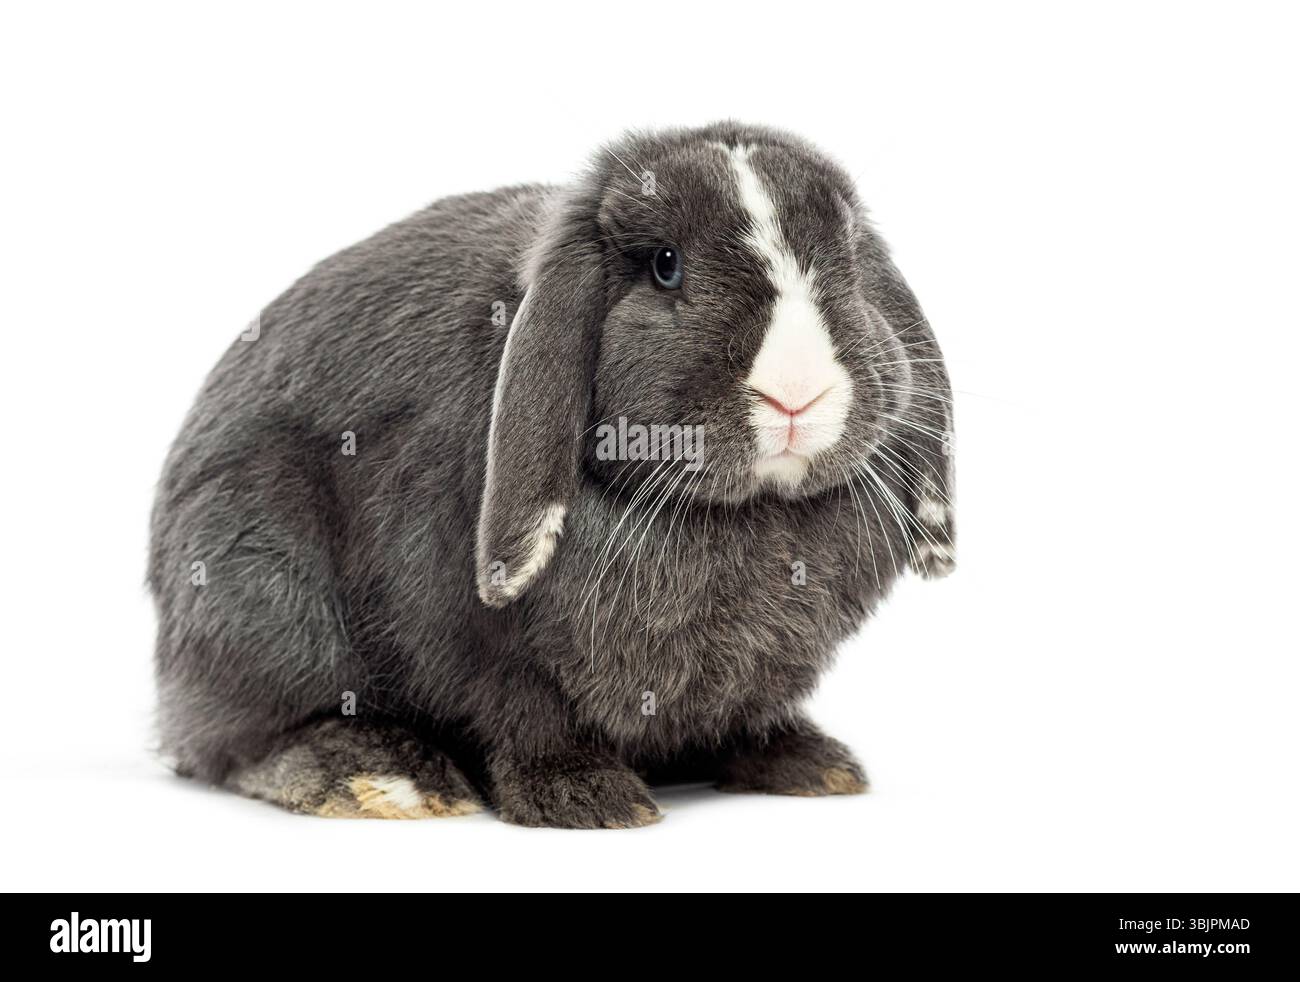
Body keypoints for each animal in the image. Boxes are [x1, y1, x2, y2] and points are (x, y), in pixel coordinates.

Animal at [148, 121, 955, 828]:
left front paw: (808, 765)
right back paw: (379, 776)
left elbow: (744, 714)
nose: (797, 392)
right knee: (241, 743)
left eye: (846, 260)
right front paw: (589, 799)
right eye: (666, 265)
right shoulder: (482, 639)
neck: (741, 515)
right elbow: (525, 714)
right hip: (258, 584)